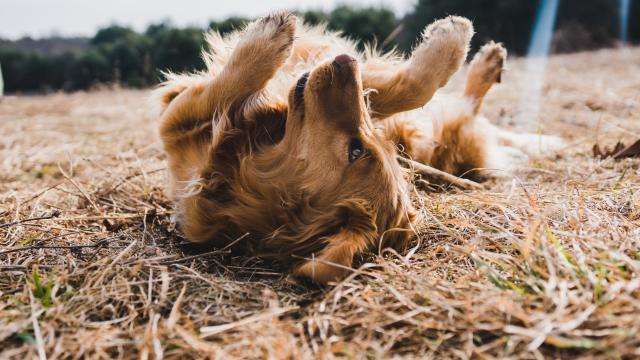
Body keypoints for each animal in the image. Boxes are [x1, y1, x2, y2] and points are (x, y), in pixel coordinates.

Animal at [158, 11, 564, 284]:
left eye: (358, 150)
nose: (345, 60)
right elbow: (405, 89)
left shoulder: (175, 124)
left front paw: (266, 42)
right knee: (465, 110)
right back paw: (489, 62)